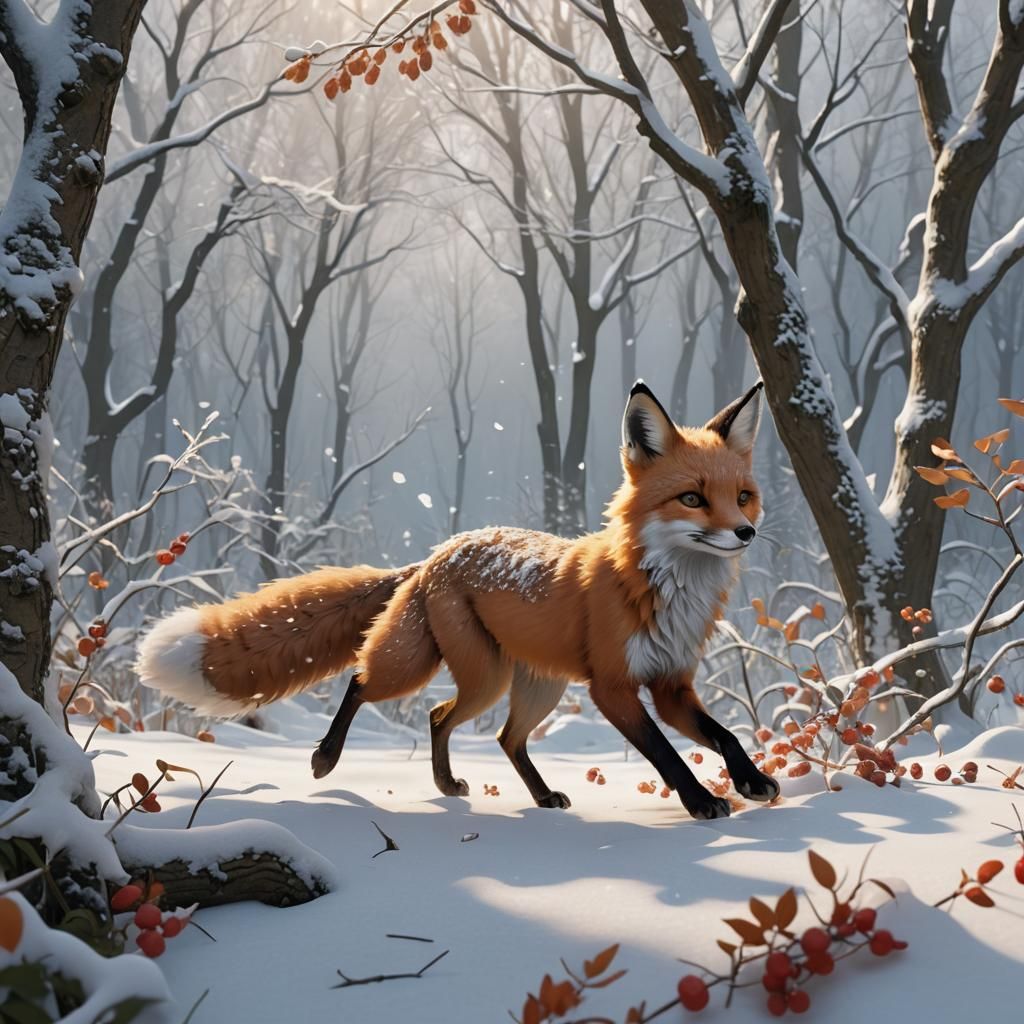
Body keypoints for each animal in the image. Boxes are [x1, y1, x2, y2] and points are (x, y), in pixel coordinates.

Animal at [137, 380, 779, 820]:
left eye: (744, 497)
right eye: (693, 498)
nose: (745, 533)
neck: (660, 587)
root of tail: (436, 553)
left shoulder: (671, 685)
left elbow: (723, 735)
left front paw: (751, 782)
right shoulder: (614, 688)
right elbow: (665, 754)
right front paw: (701, 802)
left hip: (528, 685)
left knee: (485, 732)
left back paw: (501, 791)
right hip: (461, 671)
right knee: (372, 687)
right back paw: (328, 759)